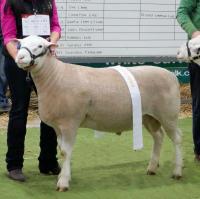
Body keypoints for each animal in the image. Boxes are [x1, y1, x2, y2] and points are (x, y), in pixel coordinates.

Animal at [14, 35, 182, 191]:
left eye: (40, 45)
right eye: (20, 44)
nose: (19, 57)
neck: (55, 76)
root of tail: (172, 75)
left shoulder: (70, 123)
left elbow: (65, 152)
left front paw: (63, 183)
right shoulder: (58, 126)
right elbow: (62, 151)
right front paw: (64, 176)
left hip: (169, 115)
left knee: (177, 138)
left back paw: (177, 171)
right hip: (148, 116)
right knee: (158, 136)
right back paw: (152, 168)